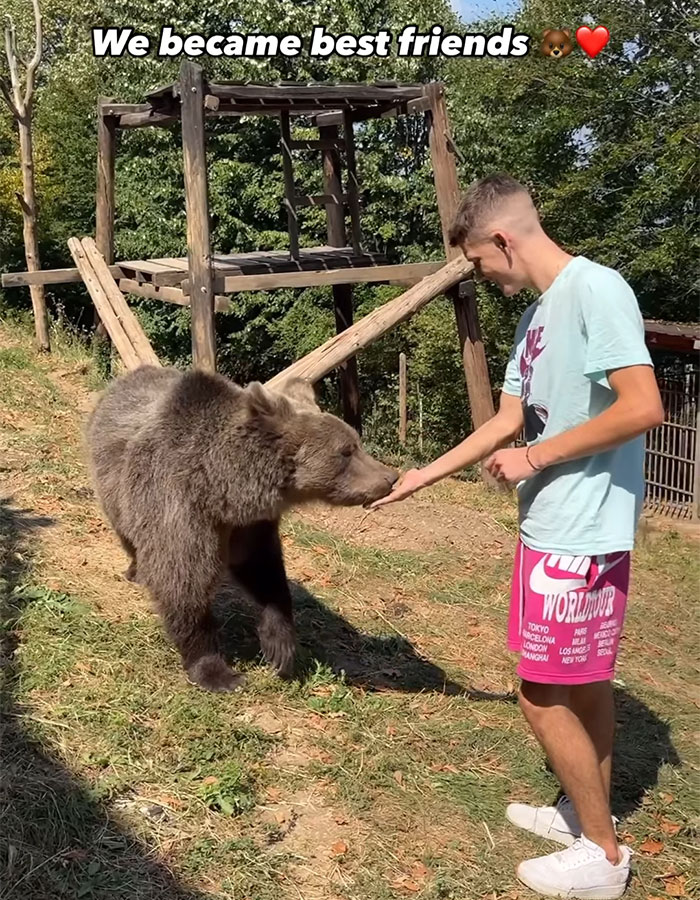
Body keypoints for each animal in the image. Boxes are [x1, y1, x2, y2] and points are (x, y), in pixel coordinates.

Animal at [84, 365, 398, 692]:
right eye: (346, 451)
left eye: (355, 443)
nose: (390, 477)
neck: (222, 490)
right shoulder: (180, 508)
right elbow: (183, 582)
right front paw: (216, 671)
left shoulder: (249, 525)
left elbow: (263, 571)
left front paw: (280, 649)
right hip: (114, 484)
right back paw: (136, 569)